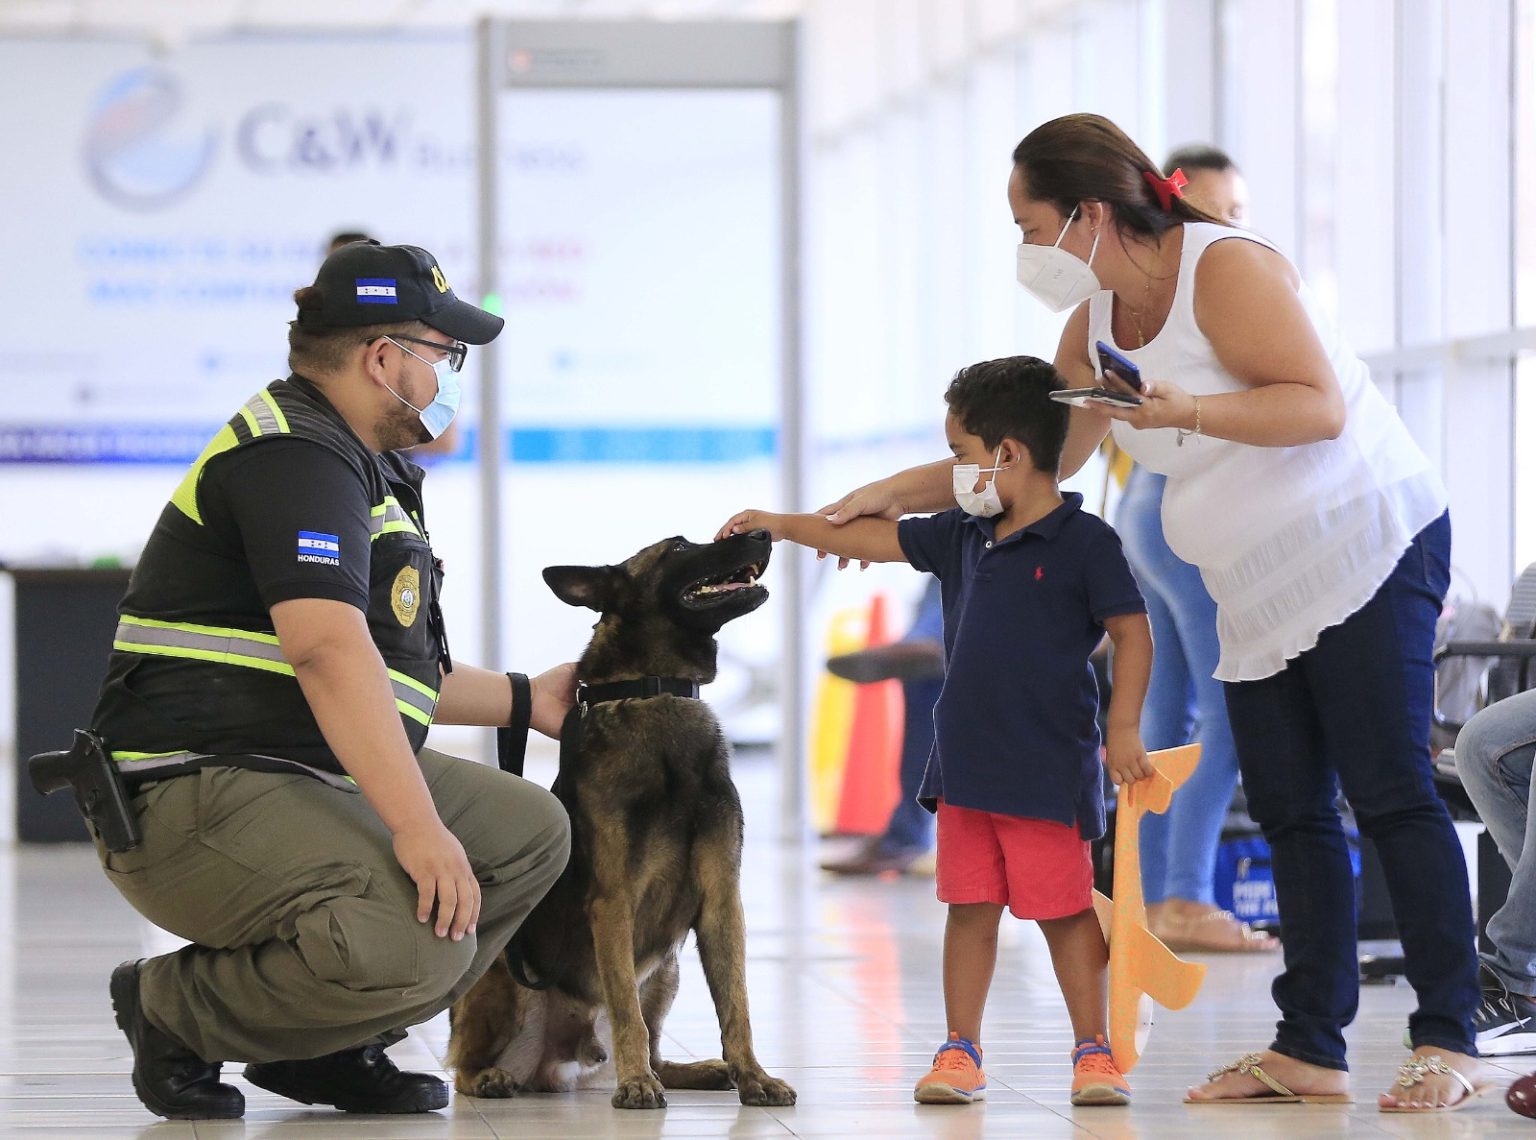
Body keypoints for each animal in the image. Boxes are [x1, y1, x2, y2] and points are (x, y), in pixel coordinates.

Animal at [448, 530, 796, 1111]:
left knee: (656, 1044)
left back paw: (702, 1070)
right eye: (678, 547)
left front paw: (753, 1074)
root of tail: (563, 1060)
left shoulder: (722, 901)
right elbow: (626, 1013)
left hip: (667, 969)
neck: (657, 687)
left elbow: (736, 1006)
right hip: (506, 982)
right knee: (462, 1066)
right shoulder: (614, 903)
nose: (760, 533)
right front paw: (635, 1083)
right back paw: (494, 1078)